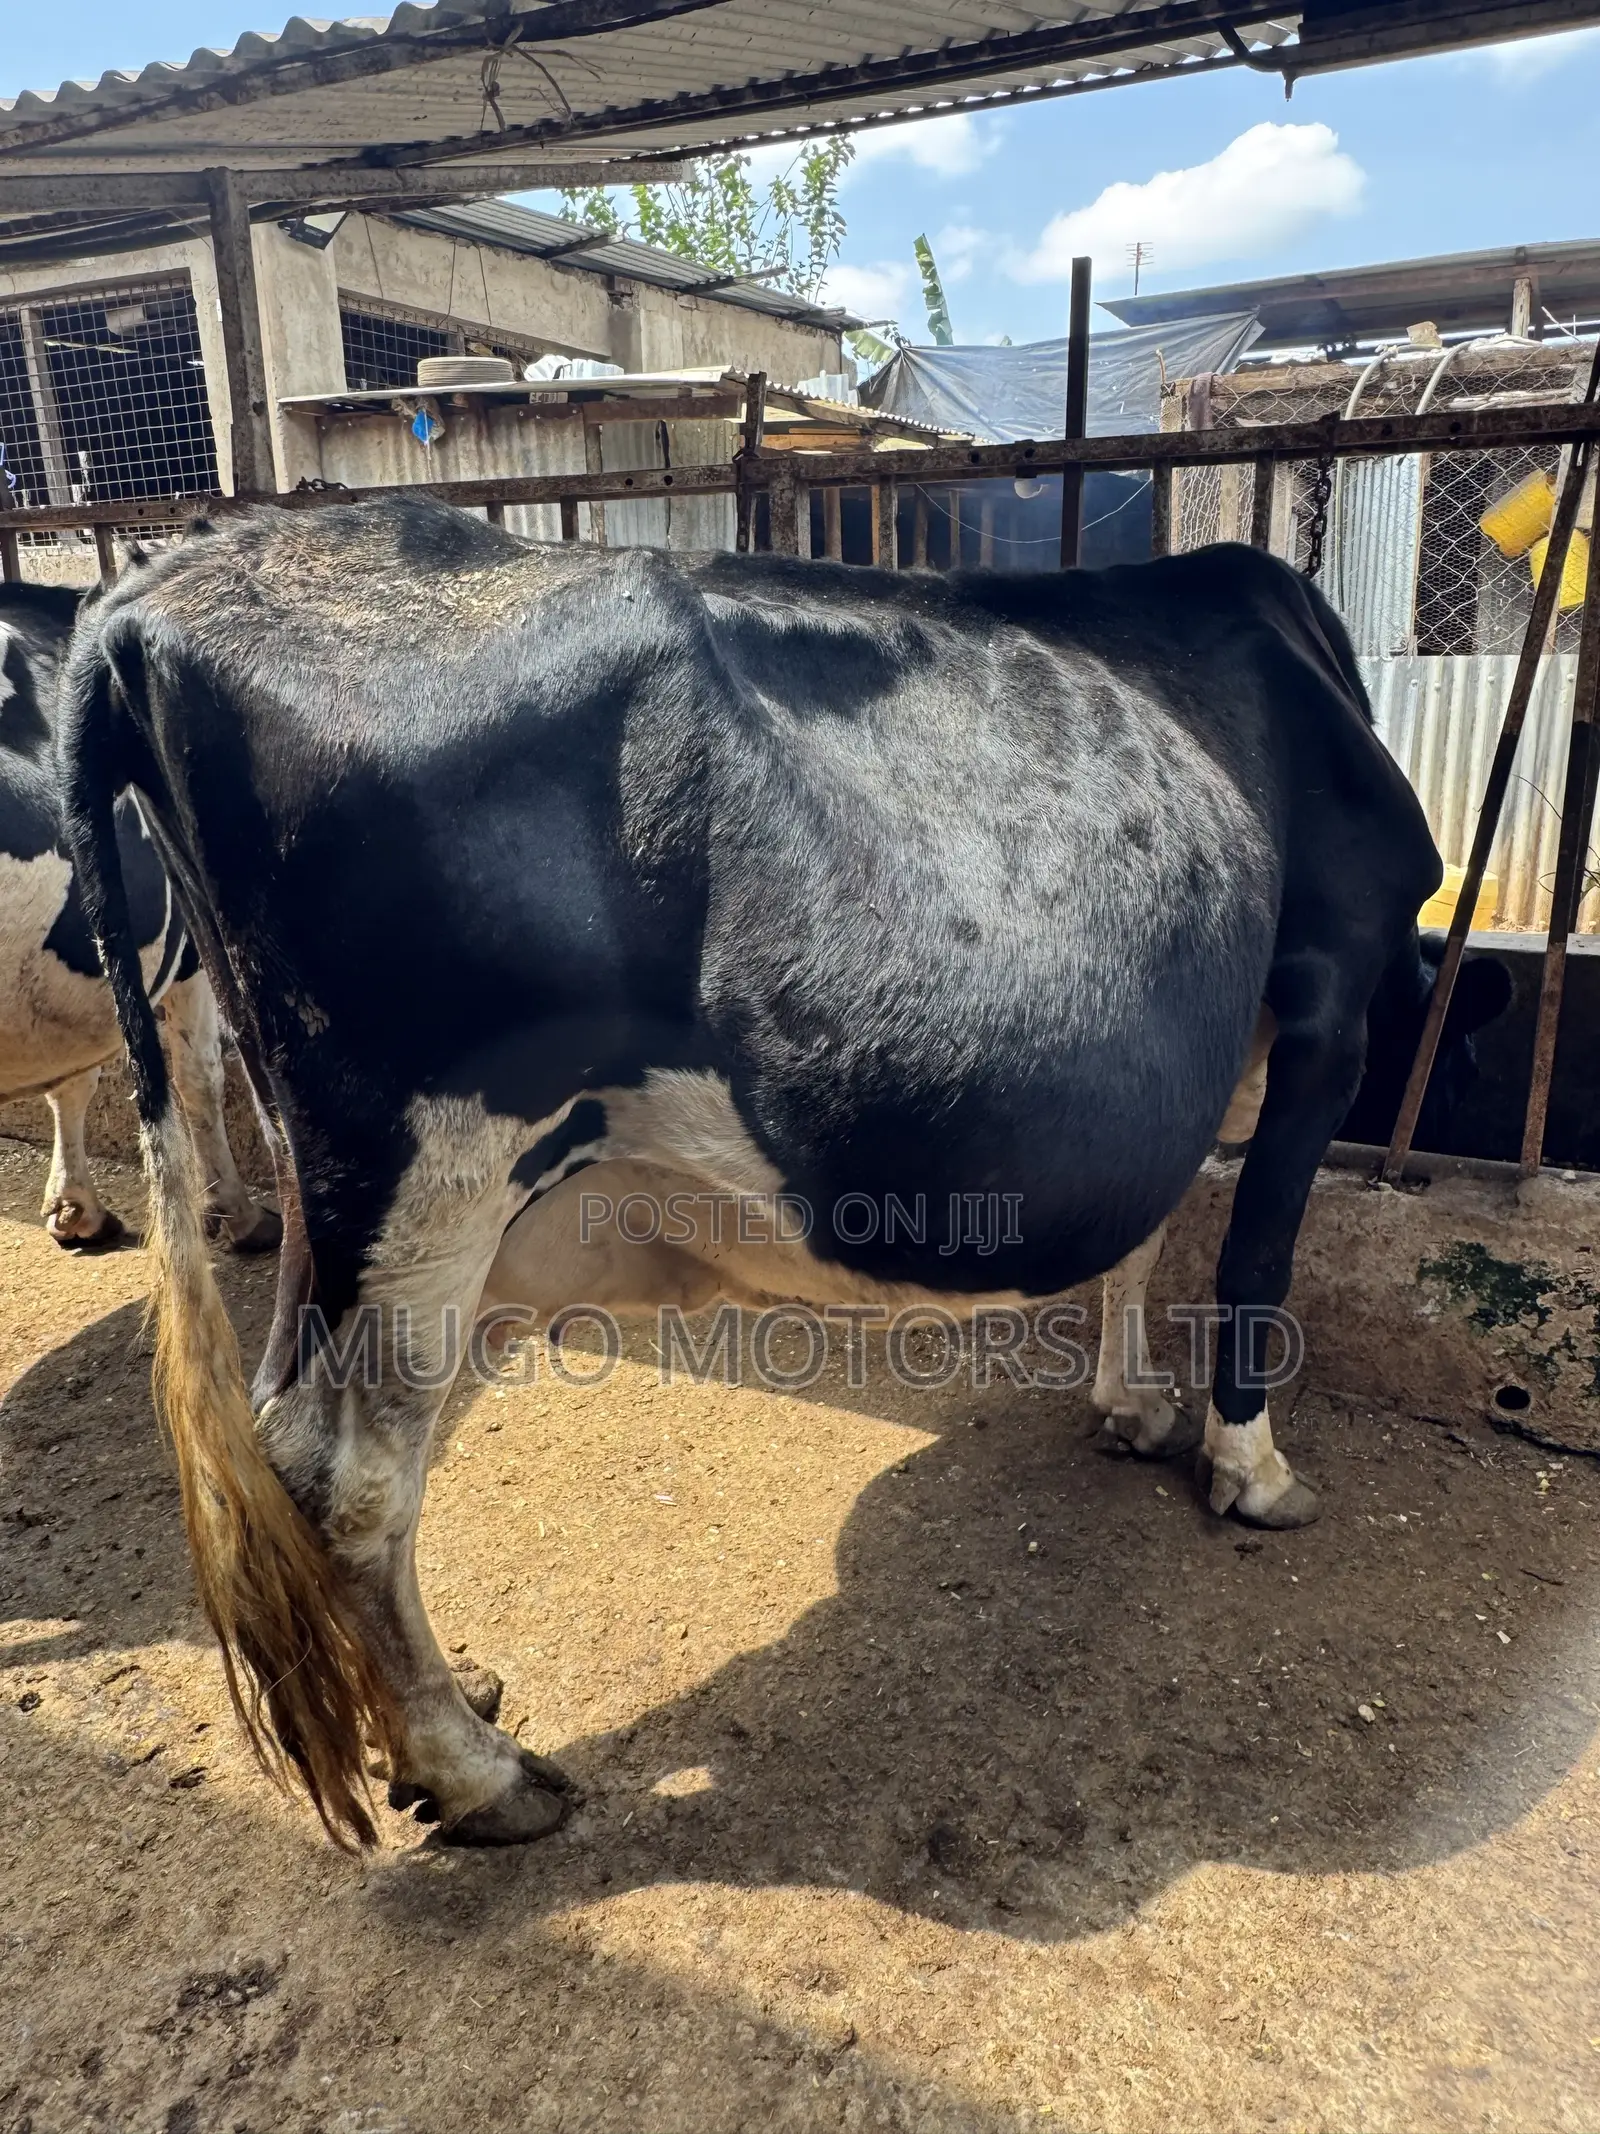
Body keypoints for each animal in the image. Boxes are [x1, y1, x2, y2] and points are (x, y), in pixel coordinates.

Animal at [58, 497, 1508, 1850]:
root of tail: (157, 593)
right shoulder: (1332, 985)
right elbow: (1254, 1249)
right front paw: (1252, 1469)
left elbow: (1150, 1228)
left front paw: (1134, 1404)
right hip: (428, 1162)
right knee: (345, 1475)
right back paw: (479, 1774)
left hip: (349, 1181)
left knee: (302, 1433)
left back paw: (440, 1710)